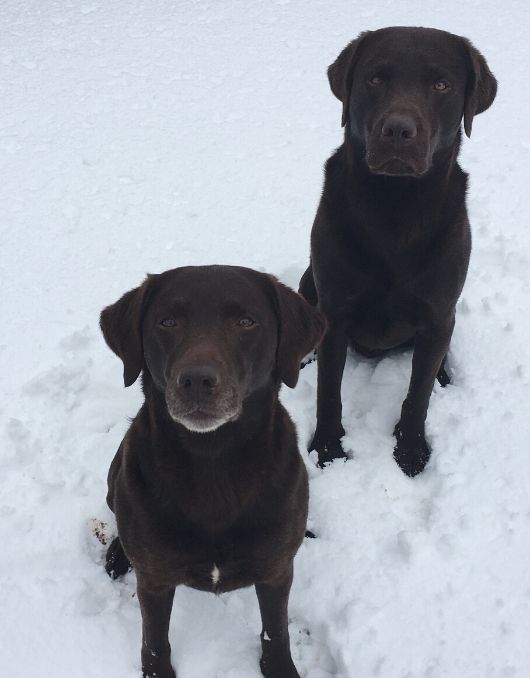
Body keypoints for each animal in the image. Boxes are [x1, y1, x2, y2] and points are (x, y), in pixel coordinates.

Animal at [98, 266, 322, 678]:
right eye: (167, 321)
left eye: (246, 321)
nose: (197, 381)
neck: (213, 462)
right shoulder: (154, 580)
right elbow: (154, 640)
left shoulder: (276, 571)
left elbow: (276, 630)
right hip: (115, 477)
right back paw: (119, 555)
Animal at [300, 27, 498, 478]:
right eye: (375, 78)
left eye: (441, 84)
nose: (398, 131)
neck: (395, 210)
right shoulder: (335, 312)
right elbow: (328, 393)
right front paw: (327, 450)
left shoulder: (438, 311)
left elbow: (418, 393)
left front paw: (411, 450)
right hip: (308, 282)